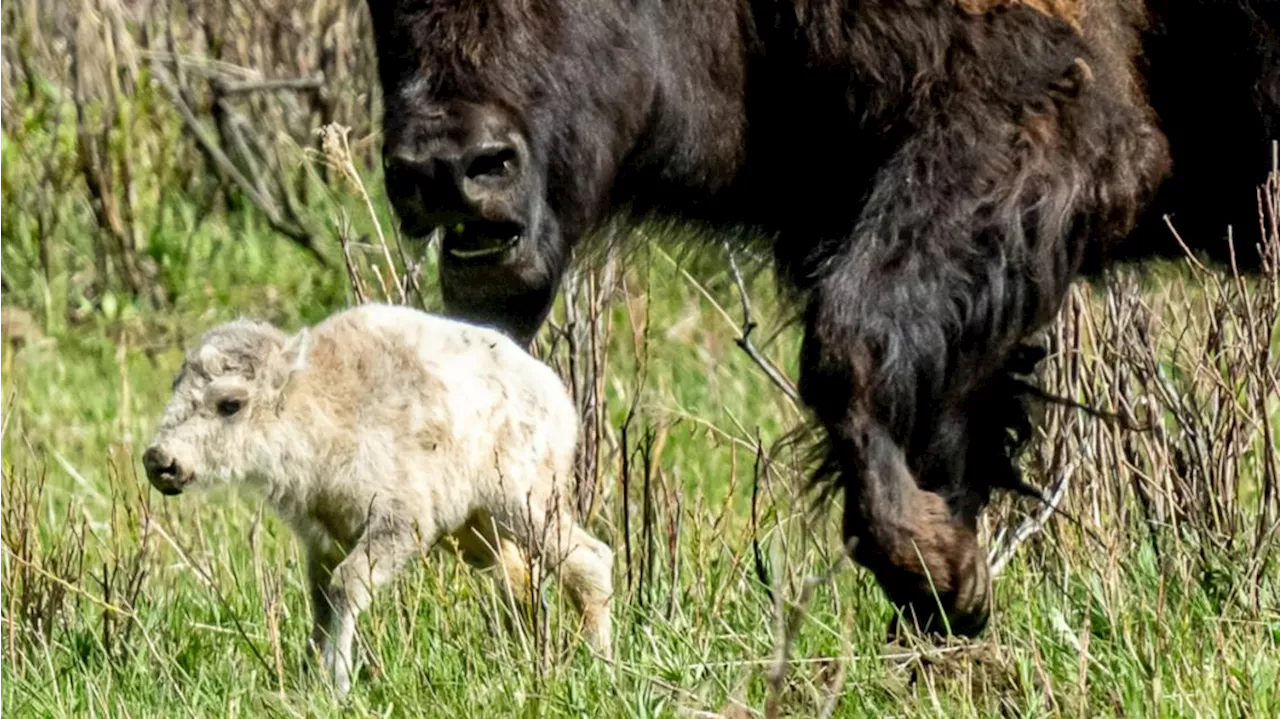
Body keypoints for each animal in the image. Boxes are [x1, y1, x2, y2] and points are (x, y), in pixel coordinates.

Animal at [140, 301, 614, 695]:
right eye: (176, 385)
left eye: (230, 403)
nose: (160, 461)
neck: (320, 402)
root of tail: (555, 392)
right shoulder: (323, 539)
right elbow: (320, 601)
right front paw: (309, 676)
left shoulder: (399, 524)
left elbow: (346, 587)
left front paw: (337, 681)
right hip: (477, 531)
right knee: (521, 581)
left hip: (524, 504)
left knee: (588, 560)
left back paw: (597, 662)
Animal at [358, 1, 1280, 637]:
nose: (449, 166)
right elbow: (936, 421)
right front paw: (950, 598)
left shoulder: (1035, 127)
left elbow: (848, 345)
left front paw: (939, 573)